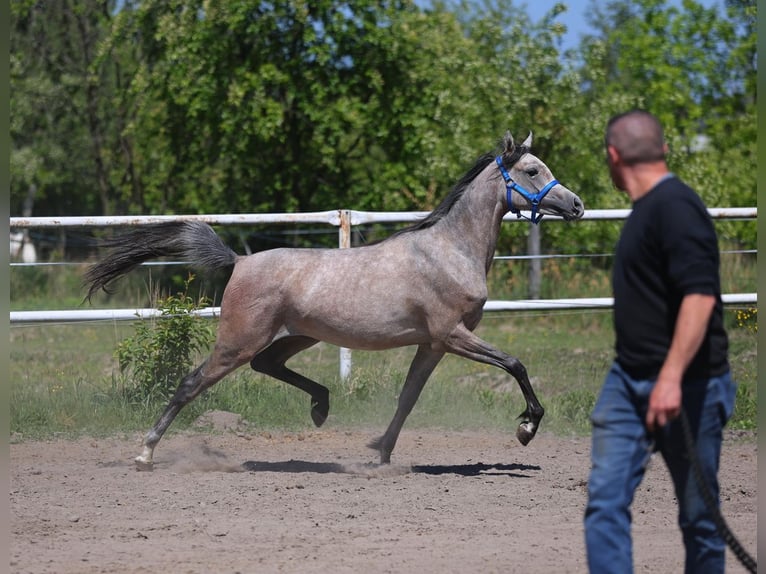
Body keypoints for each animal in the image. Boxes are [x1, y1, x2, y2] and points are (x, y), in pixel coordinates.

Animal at [84, 133, 584, 470]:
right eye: (532, 171)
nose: (577, 205)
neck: (450, 249)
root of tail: (238, 261)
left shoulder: (433, 344)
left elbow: (408, 397)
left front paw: (380, 454)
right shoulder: (451, 334)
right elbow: (515, 364)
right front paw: (526, 427)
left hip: (298, 336)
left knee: (267, 365)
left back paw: (321, 406)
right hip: (237, 341)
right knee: (191, 383)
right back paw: (145, 453)